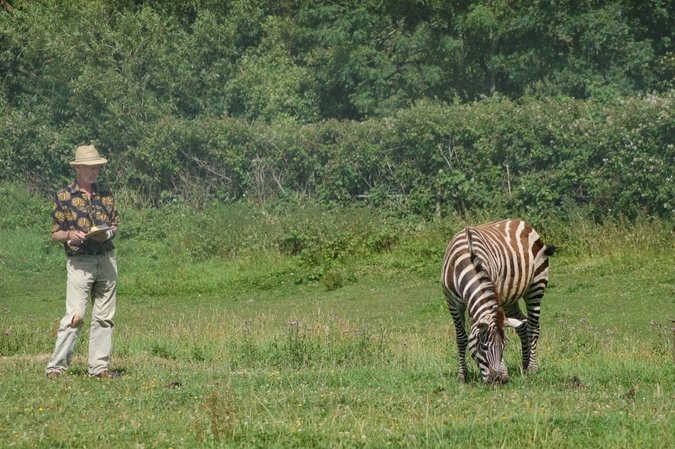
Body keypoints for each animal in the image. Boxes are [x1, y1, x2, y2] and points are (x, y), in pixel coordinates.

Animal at [440, 219, 556, 384]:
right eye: (482, 346)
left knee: (533, 327)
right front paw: (462, 375)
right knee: (522, 324)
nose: (497, 380)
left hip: (536, 286)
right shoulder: (452, 303)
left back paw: (532, 368)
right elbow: (461, 338)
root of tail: (520, 221)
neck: (466, 263)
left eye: (504, 346)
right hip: (510, 299)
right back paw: (525, 364)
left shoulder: (494, 291)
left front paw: (504, 371)